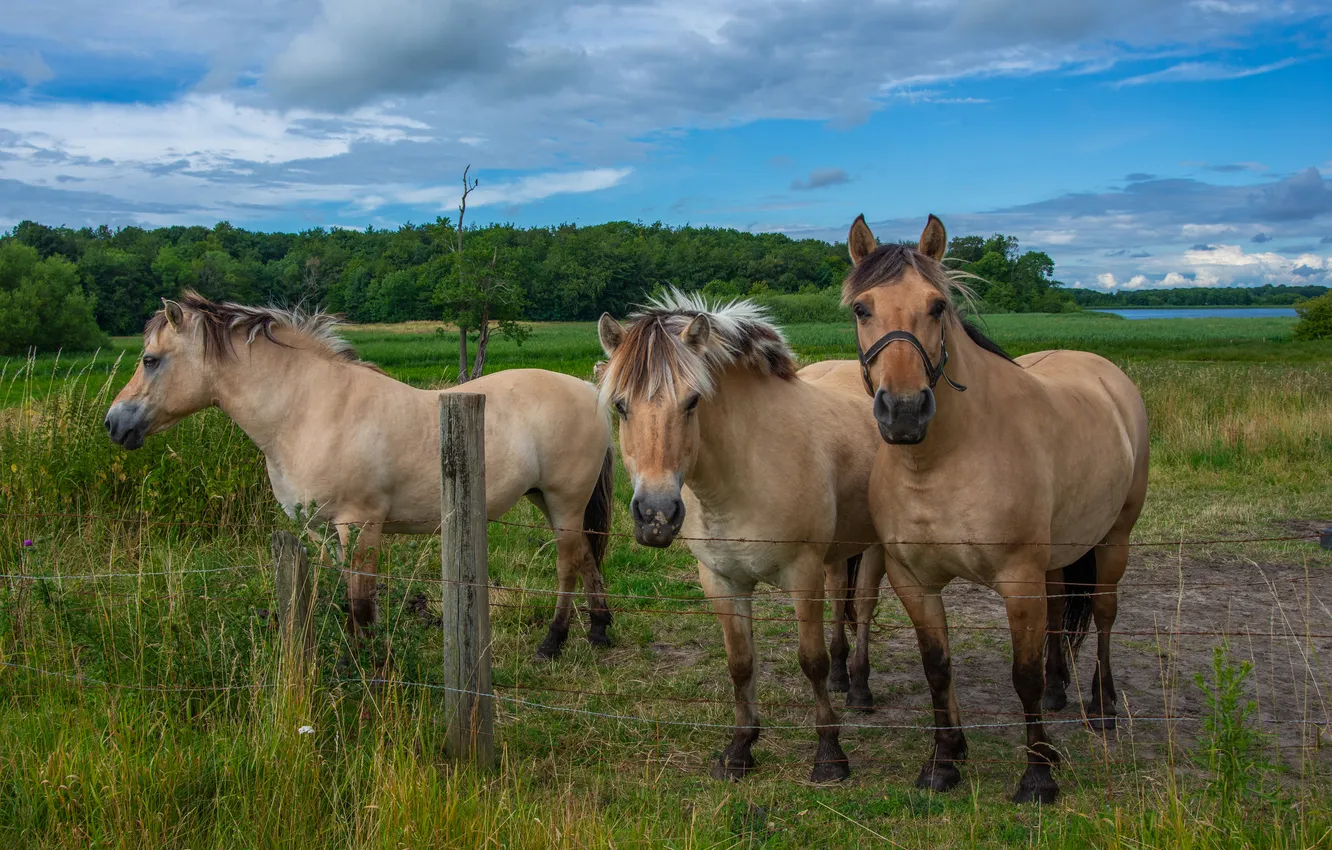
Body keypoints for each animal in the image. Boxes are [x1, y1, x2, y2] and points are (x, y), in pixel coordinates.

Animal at [105, 292, 615, 658]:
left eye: (150, 360)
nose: (114, 422)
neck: (307, 410)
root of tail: (589, 391)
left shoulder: (361, 526)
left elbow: (361, 604)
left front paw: (368, 665)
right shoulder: (319, 532)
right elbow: (340, 600)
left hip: (564, 501)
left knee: (568, 565)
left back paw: (552, 642)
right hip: (545, 499)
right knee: (587, 557)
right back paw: (599, 631)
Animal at [597, 290, 885, 783]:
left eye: (693, 402)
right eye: (620, 405)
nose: (656, 515)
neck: (744, 470)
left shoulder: (801, 574)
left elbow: (810, 660)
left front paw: (830, 755)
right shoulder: (721, 579)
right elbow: (740, 663)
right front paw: (739, 749)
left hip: (877, 549)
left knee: (862, 608)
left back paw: (860, 689)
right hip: (837, 552)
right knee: (841, 600)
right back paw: (843, 678)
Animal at [843, 215, 1149, 803]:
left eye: (937, 305)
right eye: (861, 309)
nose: (904, 412)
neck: (941, 461)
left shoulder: (1018, 578)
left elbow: (1022, 675)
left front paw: (1039, 776)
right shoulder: (914, 580)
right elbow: (937, 669)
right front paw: (942, 763)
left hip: (1113, 541)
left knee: (1103, 614)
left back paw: (1101, 707)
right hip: (1059, 555)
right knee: (1061, 607)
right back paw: (1059, 692)